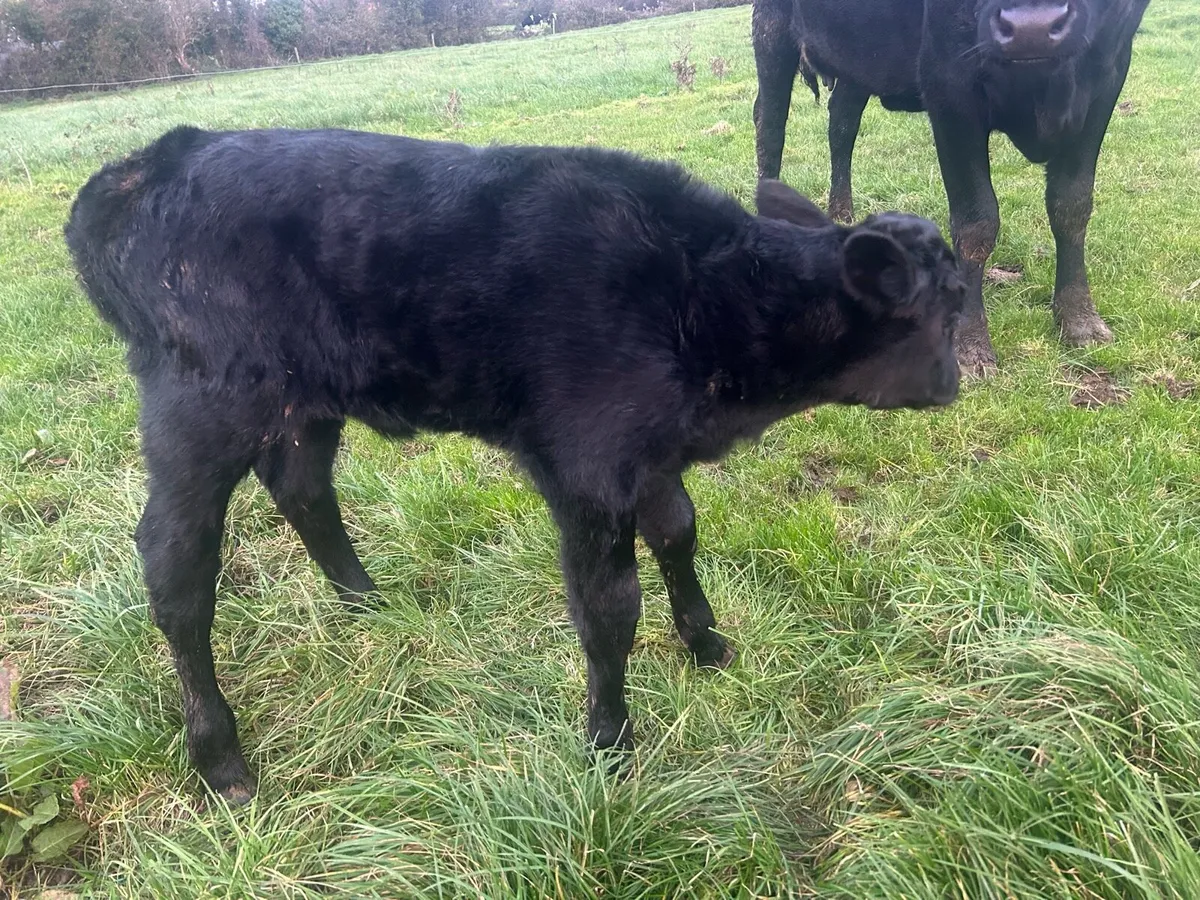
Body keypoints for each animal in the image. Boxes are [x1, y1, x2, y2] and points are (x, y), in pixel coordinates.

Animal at [65, 126, 964, 803]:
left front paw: (706, 643)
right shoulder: (588, 467)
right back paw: (220, 759)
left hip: (305, 401)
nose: (961, 380)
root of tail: (143, 166)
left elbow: (679, 532)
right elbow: (609, 608)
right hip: (201, 405)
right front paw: (610, 744)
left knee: (302, 487)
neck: (702, 295)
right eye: (951, 306)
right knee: (176, 566)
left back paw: (367, 602)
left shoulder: (647, 450)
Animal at [752, 0, 1150, 374]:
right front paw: (970, 345)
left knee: (842, 122)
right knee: (770, 123)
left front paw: (1080, 321)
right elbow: (977, 222)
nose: (1032, 28)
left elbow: (1071, 206)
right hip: (771, 32)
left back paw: (842, 212)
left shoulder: (1107, 78)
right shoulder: (949, 84)